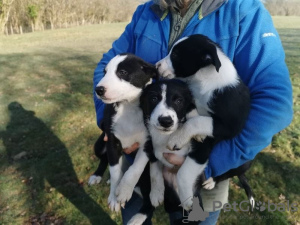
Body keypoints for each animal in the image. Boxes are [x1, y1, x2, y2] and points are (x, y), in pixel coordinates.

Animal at [91, 53, 157, 218]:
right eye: (105, 72)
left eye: (122, 72)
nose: (98, 89)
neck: (128, 107)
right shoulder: (112, 143)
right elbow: (115, 172)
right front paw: (114, 198)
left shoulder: (148, 144)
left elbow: (135, 169)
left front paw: (124, 191)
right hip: (99, 144)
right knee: (105, 160)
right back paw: (97, 176)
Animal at [156, 34, 252, 210]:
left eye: (176, 55)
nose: (156, 66)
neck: (205, 82)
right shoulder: (190, 100)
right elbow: (193, 113)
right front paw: (196, 134)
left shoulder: (229, 126)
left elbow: (199, 121)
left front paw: (178, 138)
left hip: (243, 162)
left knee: (228, 172)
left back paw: (210, 181)